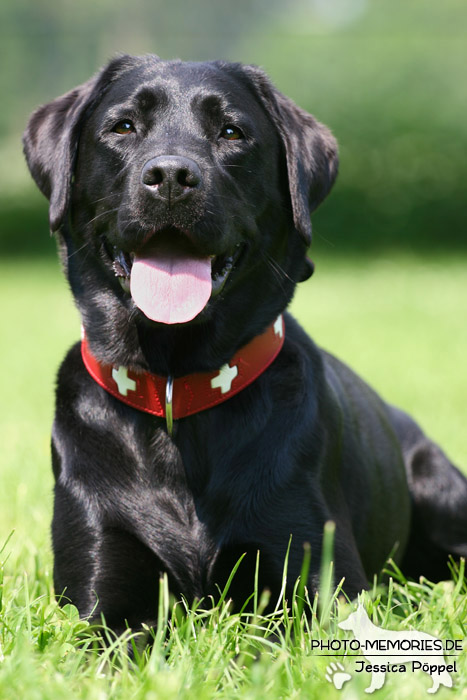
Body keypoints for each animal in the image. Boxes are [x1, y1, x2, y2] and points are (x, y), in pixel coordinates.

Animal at [23, 56, 467, 636]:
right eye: (123, 126)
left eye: (232, 132)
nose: (171, 177)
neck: (177, 390)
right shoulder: (99, 590)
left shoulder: (317, 580)